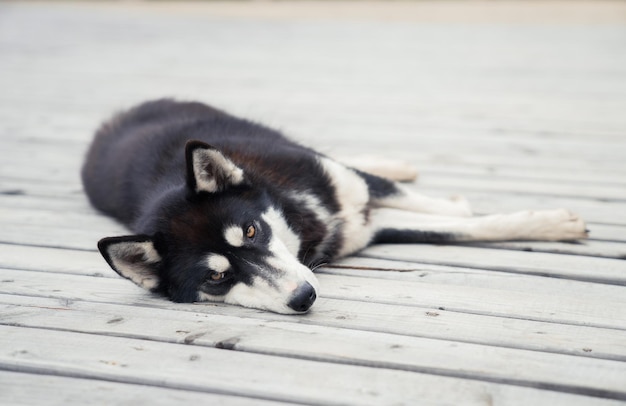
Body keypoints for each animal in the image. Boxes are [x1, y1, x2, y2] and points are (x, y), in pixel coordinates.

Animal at [81, 98, 584, 314]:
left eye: (251, 232)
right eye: (217, 278)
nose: (304, 297)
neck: (305, 222)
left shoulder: (351, 189)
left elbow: (458, 217)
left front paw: (552, 222)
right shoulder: (368, 227)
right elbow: (454, 226)